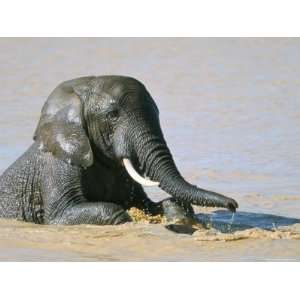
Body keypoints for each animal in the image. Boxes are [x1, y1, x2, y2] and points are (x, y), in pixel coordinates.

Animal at [0, 76, 239, 224]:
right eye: (113, 115)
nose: (233, 204)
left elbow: (145, 203)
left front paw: (176, 212)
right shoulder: (57, 165)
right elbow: (64, 213)